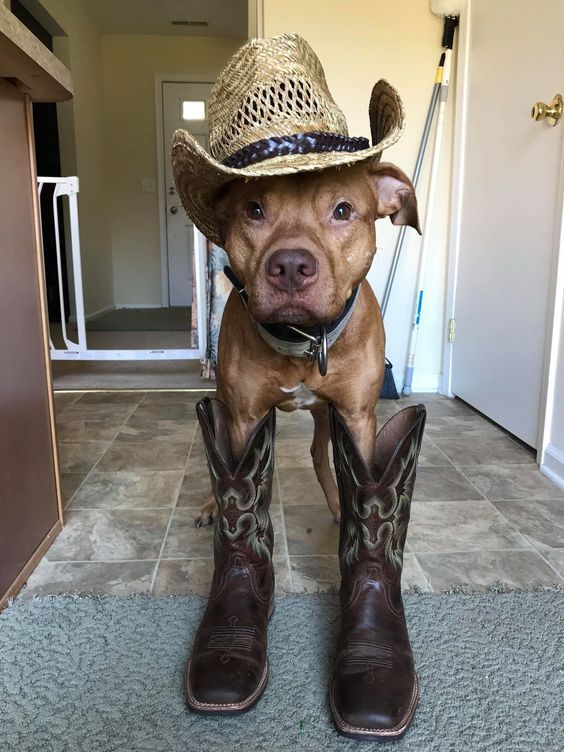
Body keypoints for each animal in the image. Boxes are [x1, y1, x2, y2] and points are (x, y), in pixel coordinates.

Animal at [195, 159, 418, 524]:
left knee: (318, 453)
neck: (304, 340)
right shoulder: (245, 418)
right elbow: (237, 474)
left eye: (342, 210)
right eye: (254, 210)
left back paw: (338, 504)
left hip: (326, 412)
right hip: (225, 397)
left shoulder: (357, 417)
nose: (290, 266)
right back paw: (212, 504)